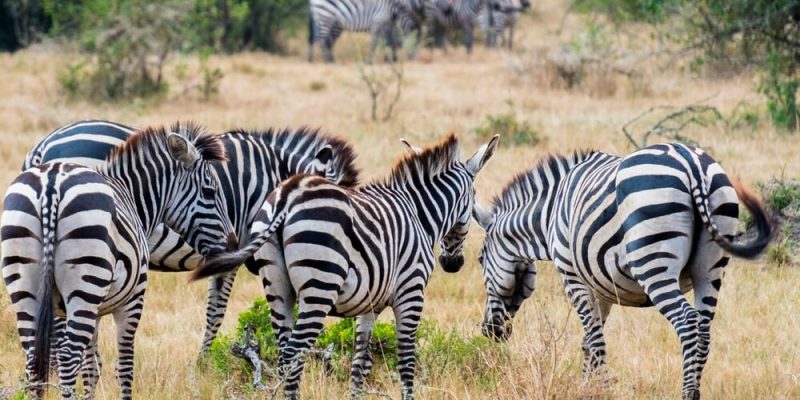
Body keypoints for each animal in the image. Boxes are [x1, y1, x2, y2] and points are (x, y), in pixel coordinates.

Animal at [2, 123, 237, 399]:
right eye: (210, 192)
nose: (234, 246)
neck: (132, 197)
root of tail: (52, 184)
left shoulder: (95, 310)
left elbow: (91, 368)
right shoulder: (134, 297)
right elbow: (124, 365)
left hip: (25, 284)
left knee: (34, 359)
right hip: (85, 283)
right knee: (68, 358)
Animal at [190, 134, 500, 399]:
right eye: (473, 202)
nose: (453, 264)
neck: (419, 215)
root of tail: (289, 192)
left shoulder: (369, 305)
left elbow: (360, 363)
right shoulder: (411, 293)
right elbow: (406, 360)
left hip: (277, 287)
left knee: (283, 353)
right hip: (319, 285)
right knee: (293, 354)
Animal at [471, 144, 772, 399]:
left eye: (480, 260)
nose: (489, 331)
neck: (549, 215)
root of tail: (692, 164)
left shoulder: (572, 276)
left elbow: (594, 338)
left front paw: (601, 389)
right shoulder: (600, 285)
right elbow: (589, 340)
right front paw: (587, 387)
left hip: (654, 261)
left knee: (687, 322)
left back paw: (688, 393)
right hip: (711, 268)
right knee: (704, 329)